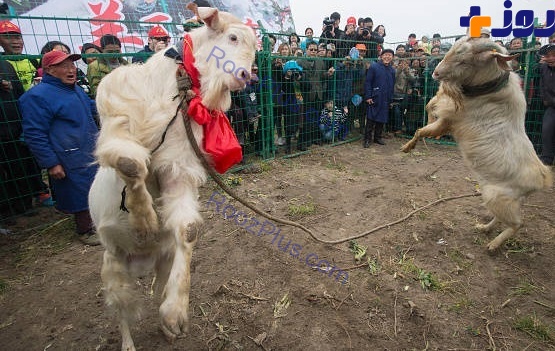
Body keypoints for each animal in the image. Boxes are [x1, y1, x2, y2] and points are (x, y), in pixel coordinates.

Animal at [88, 6, 258, 351]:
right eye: (232, 37)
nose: (247, 76)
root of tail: (139, 261)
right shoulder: (117, 121)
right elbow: (131, 165)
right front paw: (143, 221)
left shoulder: (177, 166)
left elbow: (189, 229)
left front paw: (176, 313)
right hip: (113, 265)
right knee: (123, 311)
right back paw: (128, 343)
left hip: (162, 259)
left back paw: (166, 326)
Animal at [402, 37, 552, 252]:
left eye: (465, 60)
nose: (435, 73)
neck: (489, 92)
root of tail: (541, 179)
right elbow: (427, 114)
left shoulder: (451, 119)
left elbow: (422, 129)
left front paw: (407, 147)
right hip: (506, 200)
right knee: (503, 219)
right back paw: (484, 228)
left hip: (496, 197)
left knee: (517, 224)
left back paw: (493, 245)